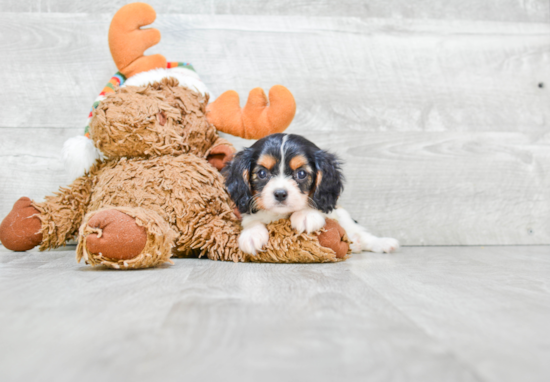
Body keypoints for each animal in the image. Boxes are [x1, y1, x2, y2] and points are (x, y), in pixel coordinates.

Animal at [224, 133, 402, 255]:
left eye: (301, 174)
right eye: (262, 173)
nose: (280, 194)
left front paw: (306, 215)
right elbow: (252, 220)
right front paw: (251, 235)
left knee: (360, 232)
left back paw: (381, 243)